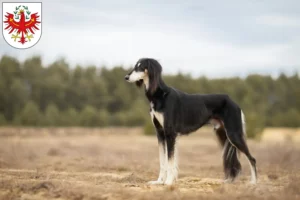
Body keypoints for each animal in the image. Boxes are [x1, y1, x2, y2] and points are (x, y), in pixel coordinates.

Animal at [124, 57, 258, 186]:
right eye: (135, 66)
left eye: (141, 67)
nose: (126, 77)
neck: (160, 95)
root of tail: (233, 102)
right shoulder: (160, 133)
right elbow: (163, 160)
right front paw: (159, 181)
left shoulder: (170, 133)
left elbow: (170, 160)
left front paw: (168, 182)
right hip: (223, 134)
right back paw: (229, 181)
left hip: (233, 134)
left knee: (252, 159)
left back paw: (254, 182)